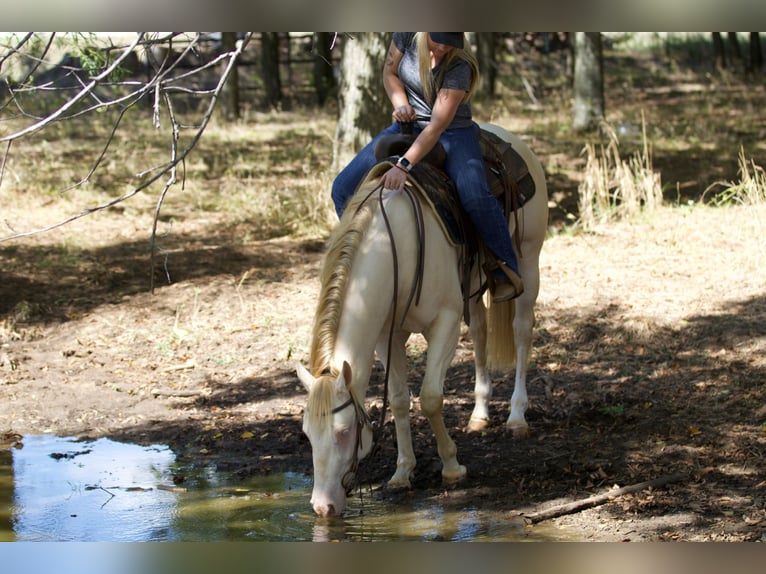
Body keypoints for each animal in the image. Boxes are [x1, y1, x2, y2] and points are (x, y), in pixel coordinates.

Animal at [296, 124, 548, 520]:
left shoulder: (444, 322)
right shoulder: (388, 337)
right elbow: (400, 400)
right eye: (307, 434)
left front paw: (453, 467)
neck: (397, 243)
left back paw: (516, 417)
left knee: (522, 332)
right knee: (480, 332)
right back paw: (479, 414)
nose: (322, 507)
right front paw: (402, 473)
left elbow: (430, 398)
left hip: (528, 259)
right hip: (473, 283)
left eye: (343, 431)